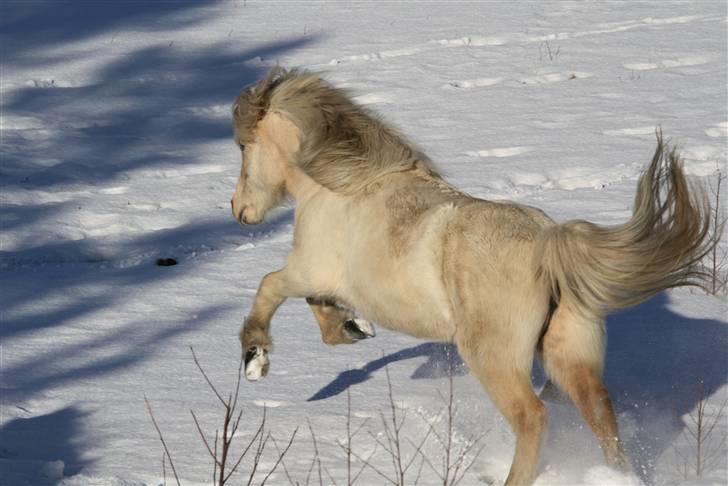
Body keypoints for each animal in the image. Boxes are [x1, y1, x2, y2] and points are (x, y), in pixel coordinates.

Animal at [228, 66, 712, 484]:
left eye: (243, 148)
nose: (238, 210)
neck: (345, 184)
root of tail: (547, 243)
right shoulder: (322, 279)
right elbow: (320, 308)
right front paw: (352, 327)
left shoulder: (306, 270)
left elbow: (269, 287)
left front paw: (256, 358)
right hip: (567, 352)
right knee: (599, 411)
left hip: (493, 357)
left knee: (533, 417)